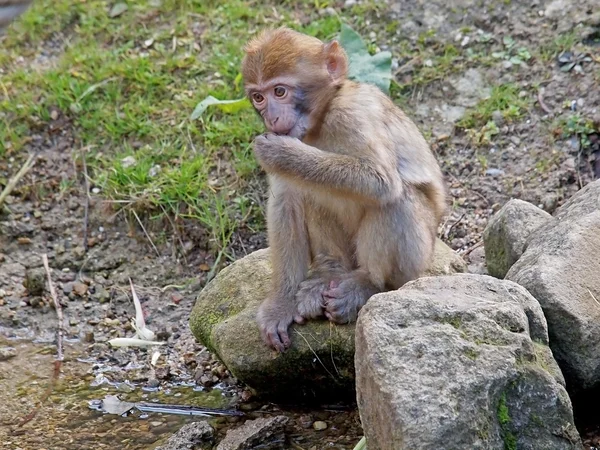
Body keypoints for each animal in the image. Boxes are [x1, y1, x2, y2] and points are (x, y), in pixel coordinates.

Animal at [243, 27, 446, 352]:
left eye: (280, 92)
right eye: (259, 97)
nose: (271, 118)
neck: (320, 121)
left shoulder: (350, 114)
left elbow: (380, 180)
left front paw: (283, 154)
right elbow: (285, 202)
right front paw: (280, 304)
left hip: (416, 262)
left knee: (396, 199)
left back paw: (367, 285)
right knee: (308, 194)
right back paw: (330, 272)